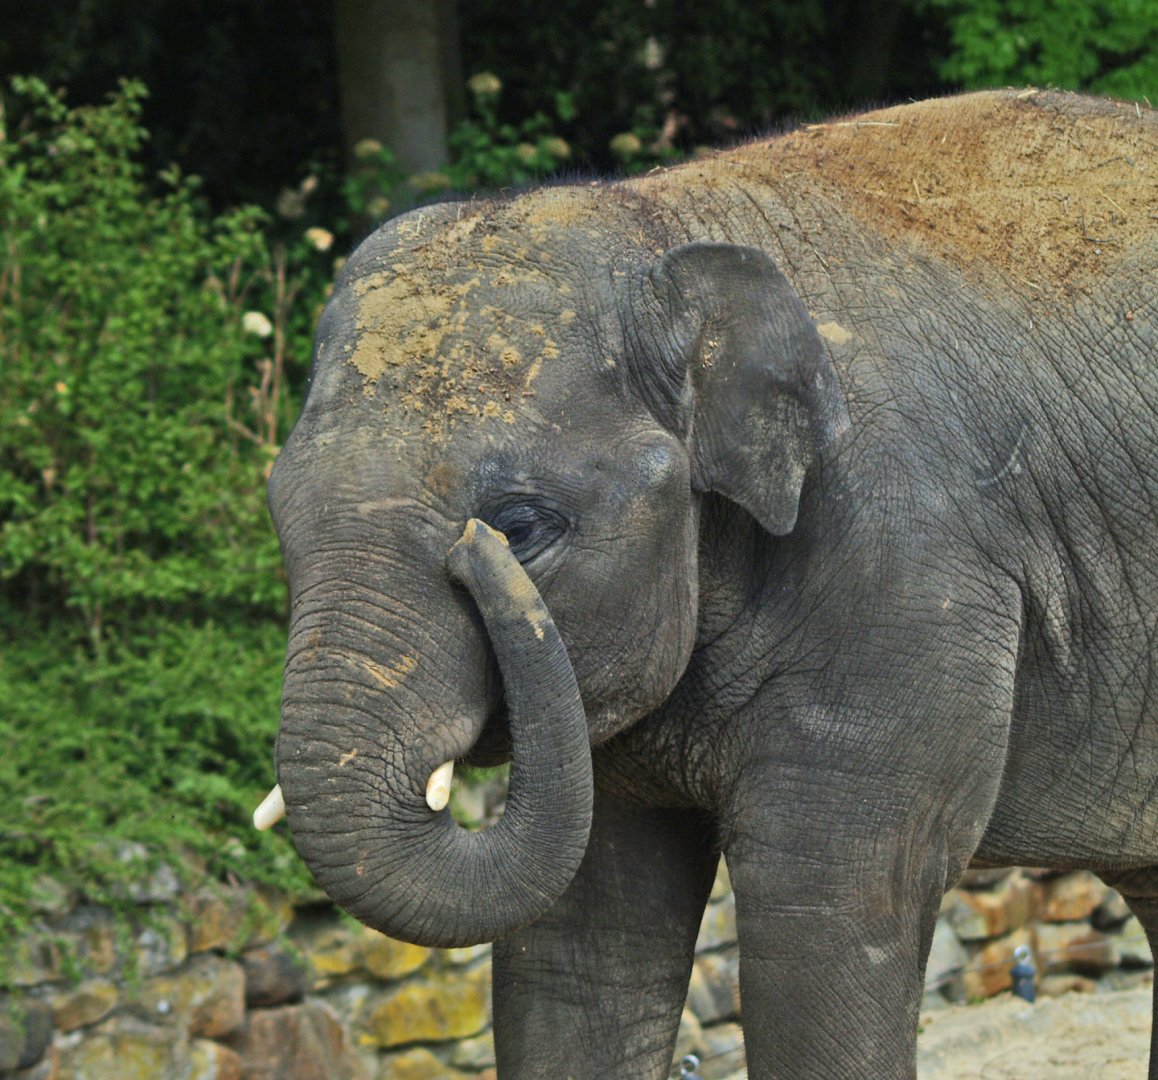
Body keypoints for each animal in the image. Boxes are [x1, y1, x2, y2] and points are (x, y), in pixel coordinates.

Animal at [256, 88, 1157, 1077]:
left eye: (521, 527)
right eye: (278, 511)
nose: (481, 552)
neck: (663, 224)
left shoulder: (915, 568)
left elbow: (828, 920)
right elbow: (584, 947)